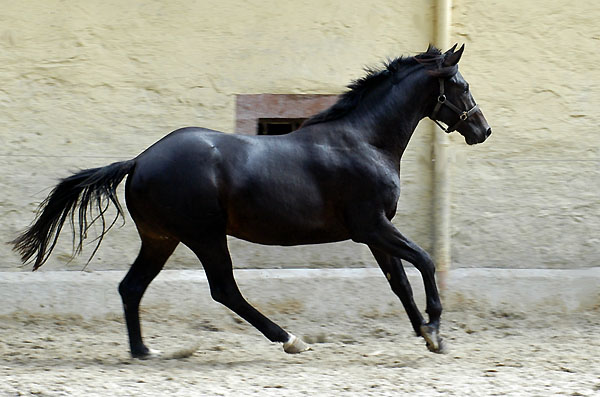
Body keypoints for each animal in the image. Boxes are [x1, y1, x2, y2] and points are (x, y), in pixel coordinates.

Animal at [12, 44, 492, 358]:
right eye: (462, 84)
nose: (482, 130)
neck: (364, 141)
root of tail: (140, 160)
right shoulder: (372, 226)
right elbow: (425, 261)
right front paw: (435, 327)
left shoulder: (373, 233)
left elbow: (400, 282)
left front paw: (426, 334)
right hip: (204, 235)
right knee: (224, 289)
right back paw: (290, 339)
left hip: (161, 238)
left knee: (132, 287)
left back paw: (143, 350)